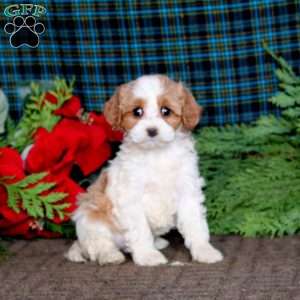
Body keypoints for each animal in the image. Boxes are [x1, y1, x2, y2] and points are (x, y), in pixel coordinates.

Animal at [67, 76, 224, 266]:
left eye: (166, 111)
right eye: (137, 112)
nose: (152, 131)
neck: (156, 154)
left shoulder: (188, 192)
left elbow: (195, 225)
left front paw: (204, 251)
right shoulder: (131, 200)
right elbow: (140, 230)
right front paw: (148, 255)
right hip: (91, 219)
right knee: (99, 243)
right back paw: (110, 255)